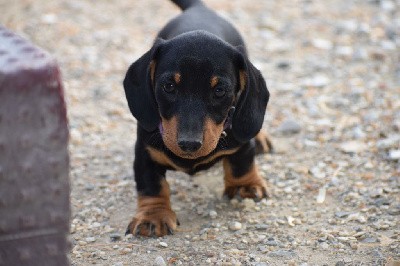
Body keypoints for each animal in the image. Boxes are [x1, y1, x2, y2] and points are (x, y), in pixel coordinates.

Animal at [122, 0, 272, 237]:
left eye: (219, 90)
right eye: (169, 86)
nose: (189, 144)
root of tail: (199, 8)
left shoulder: (240, 142)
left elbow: (242, 163)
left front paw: (245, 185)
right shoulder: (144, 151)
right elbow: (151, 184)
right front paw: (153, 216)